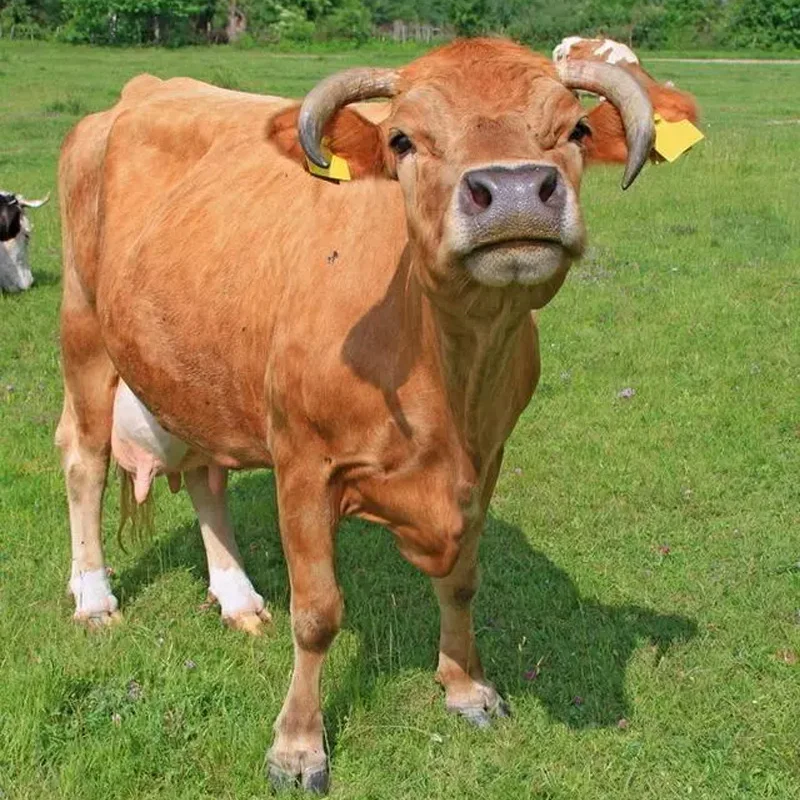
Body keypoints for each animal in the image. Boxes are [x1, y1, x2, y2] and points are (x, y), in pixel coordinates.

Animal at [57, 37, 656, 793]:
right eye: (402, 140)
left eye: (574, 130)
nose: (518, 190)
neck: (444, 371)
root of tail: (139, 90)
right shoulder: (304, 464)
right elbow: (317, 614)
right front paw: (297, 748)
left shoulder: (487, 458)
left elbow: (462, 581)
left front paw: (467, 689)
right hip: (83, 331)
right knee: (84, 461)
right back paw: (94, 597)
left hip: (195, 367)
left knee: (204, 475)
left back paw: (236, 597)